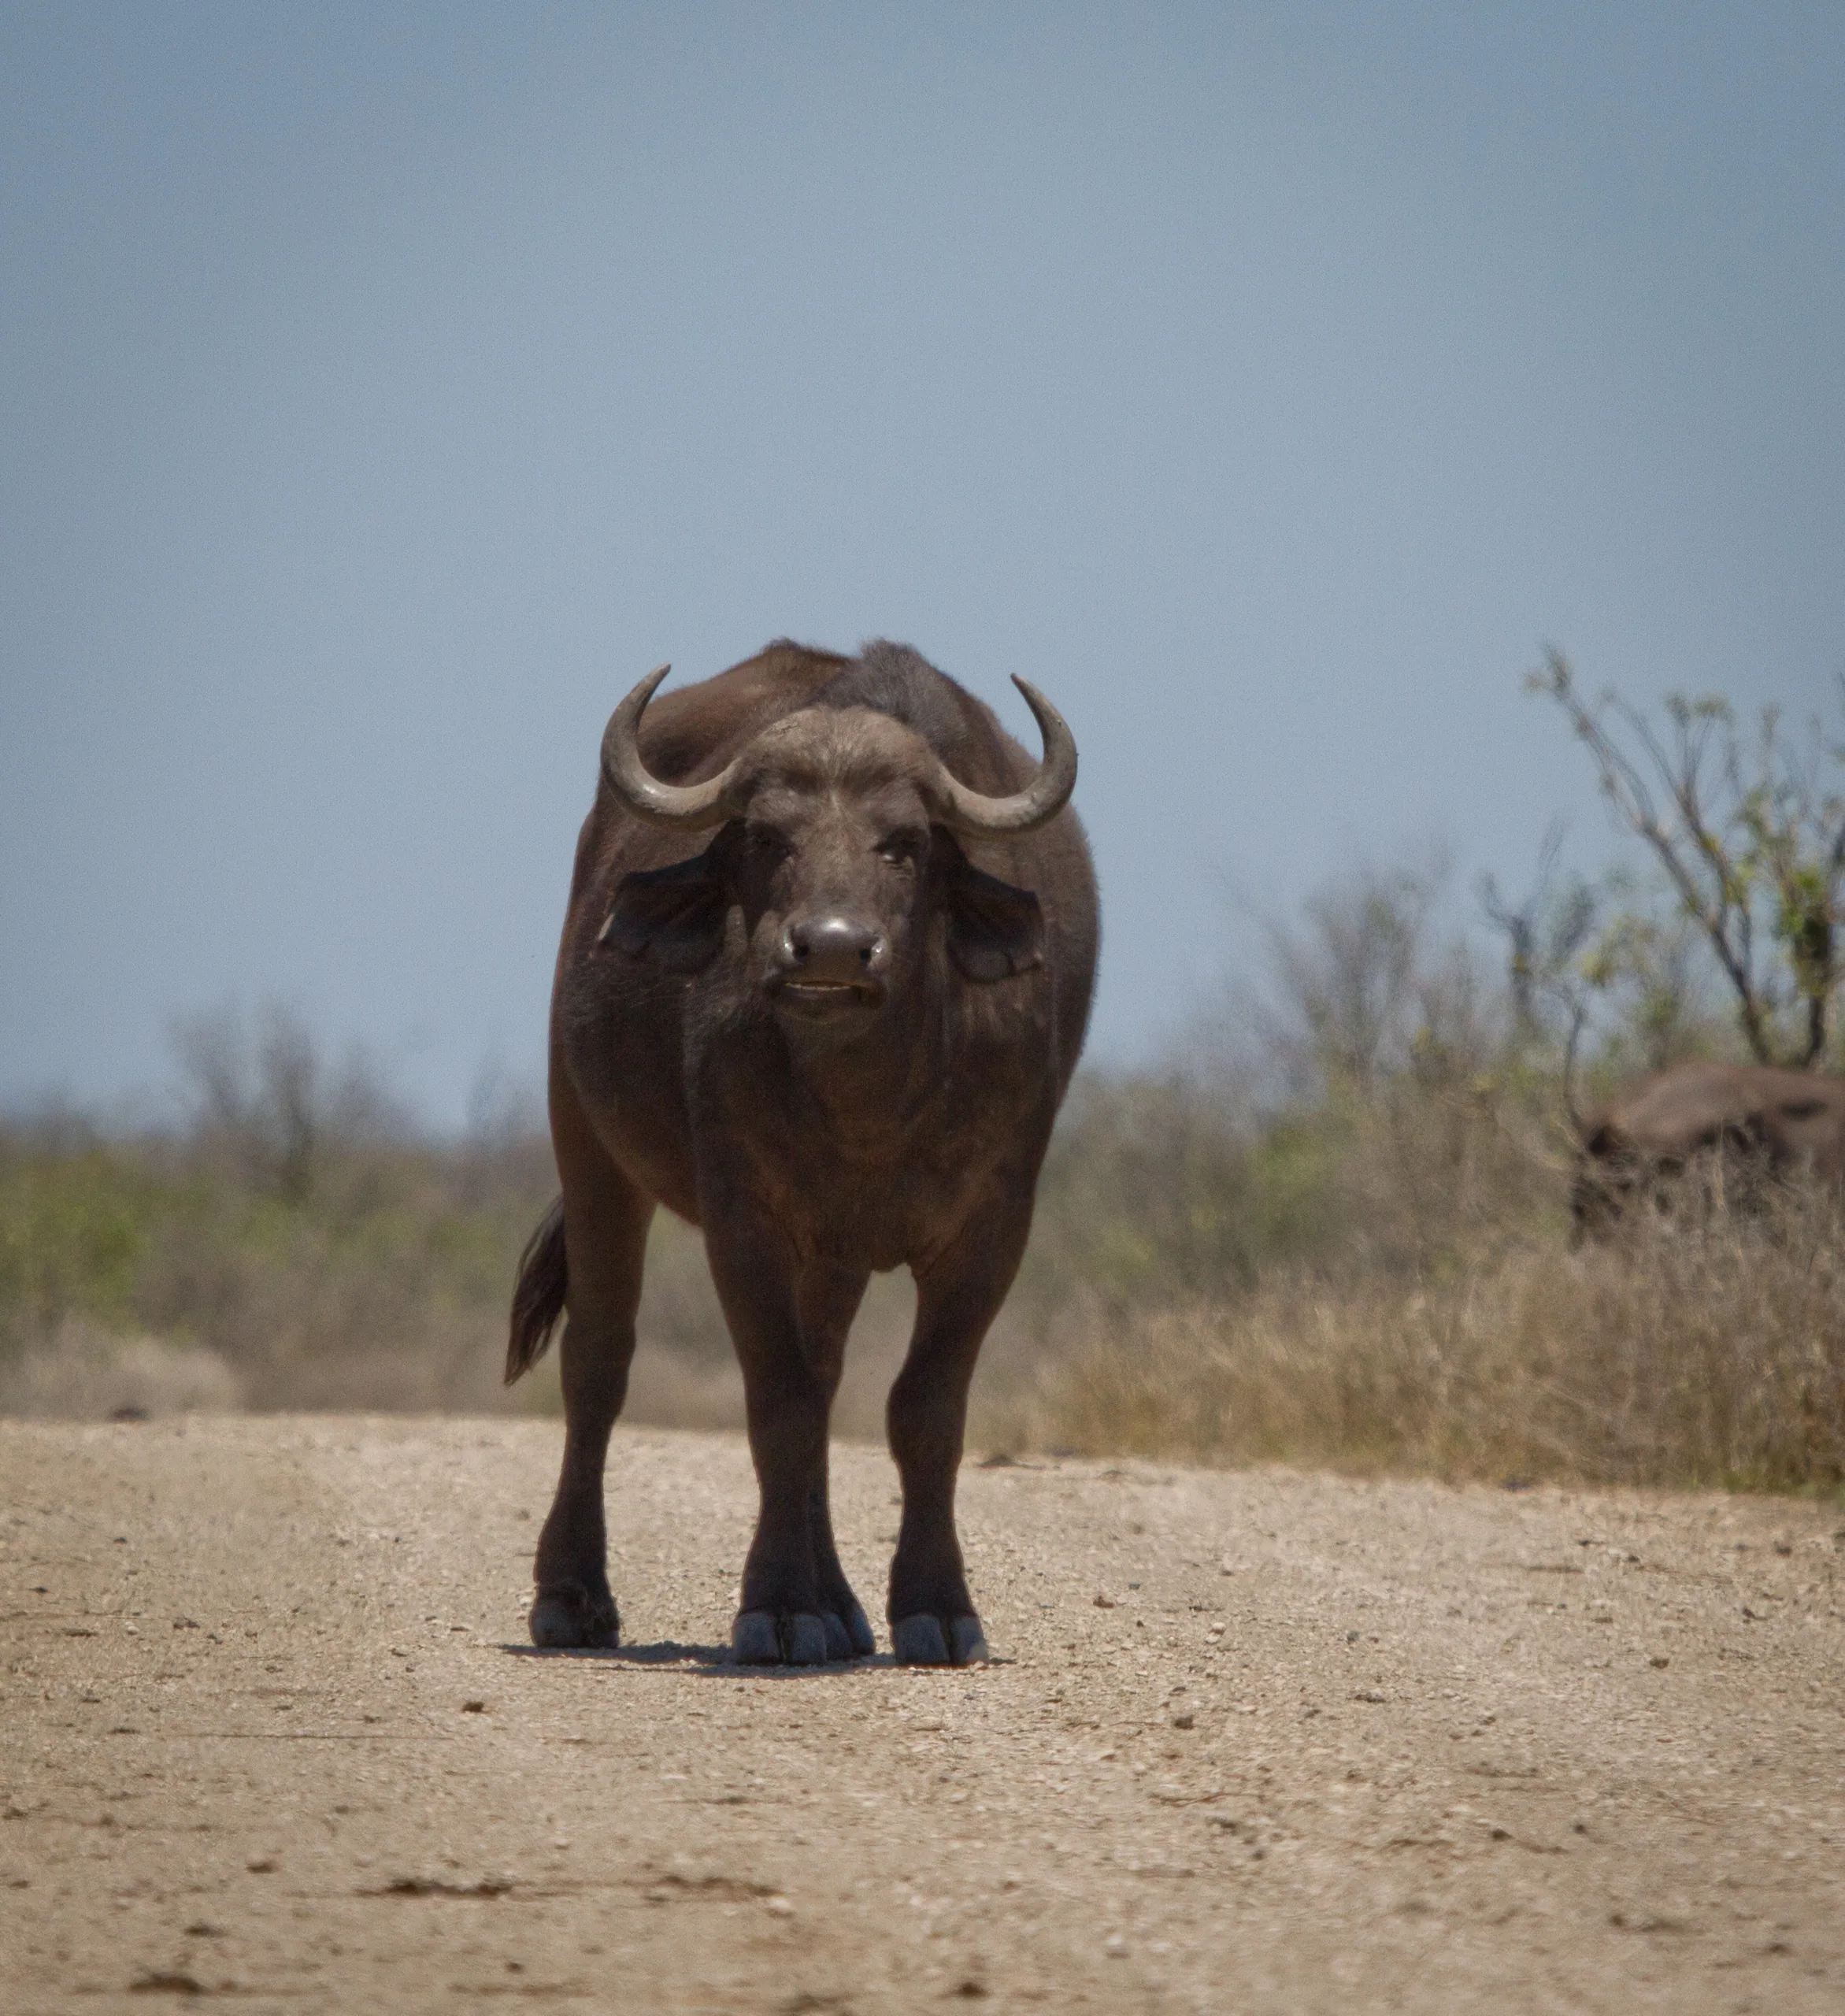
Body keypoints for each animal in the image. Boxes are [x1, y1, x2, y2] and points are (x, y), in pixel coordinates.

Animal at [505, 640, 1098, 1665]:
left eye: (904, 843)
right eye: (766, 838)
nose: (828, 949)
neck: (869, 1097)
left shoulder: (992, 1229)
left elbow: (922, 1410)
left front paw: (937, 1607)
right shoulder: (745, 1220)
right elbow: (778, 1405)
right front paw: (780, 1607)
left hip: (835, 1257)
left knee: (823, 1376)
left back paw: (844, 1608)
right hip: (587, 1138)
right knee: (599, 1361)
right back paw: (574, 1597)